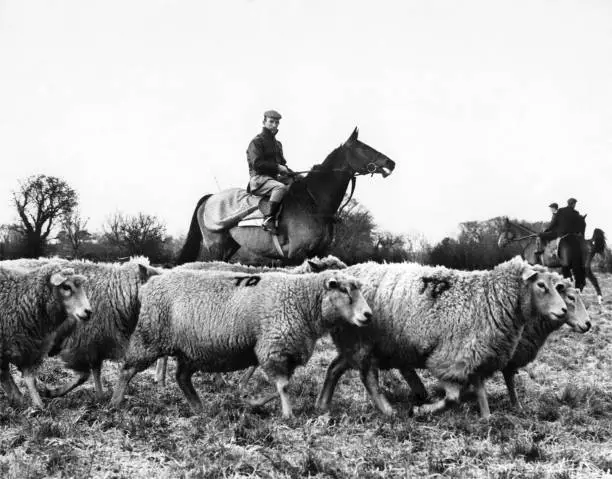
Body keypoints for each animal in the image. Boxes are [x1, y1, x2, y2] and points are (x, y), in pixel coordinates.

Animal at [0, 264, 91, 406]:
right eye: (66, 287)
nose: (88, 311)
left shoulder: (29, 349)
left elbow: (30, 379)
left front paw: (36, 403)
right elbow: (6, 376)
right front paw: (22, 400)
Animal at [177, 128, 396, 266]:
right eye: (364, 148)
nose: (390, 163)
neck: (313, 202)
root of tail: (210, 198)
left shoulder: (319, 253)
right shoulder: (297, 255)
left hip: (229, 246)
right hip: (216, 247)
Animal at [316, 256, 568, 418]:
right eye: (541, 285)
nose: (564, 310)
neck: (490, 297)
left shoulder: (475, 356)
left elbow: (475, 390)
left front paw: (485, 416)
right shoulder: (452, 358)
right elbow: (452, 398)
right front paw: (420, 410)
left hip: (355, 343)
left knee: (334, 367)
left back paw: (324, 404)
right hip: (361, 340)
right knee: (367, 376)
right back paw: (388, 410)